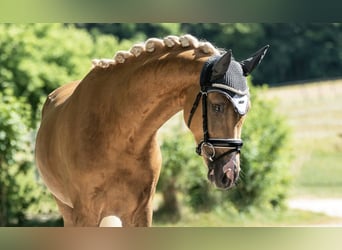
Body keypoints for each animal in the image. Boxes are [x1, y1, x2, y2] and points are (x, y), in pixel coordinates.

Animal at [35, 34, 270, 228]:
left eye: (245, 112)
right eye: (217, 106)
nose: (229, 174)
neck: (118, 135)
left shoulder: (141, 212)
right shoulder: (86, 215)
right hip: (66, 209)